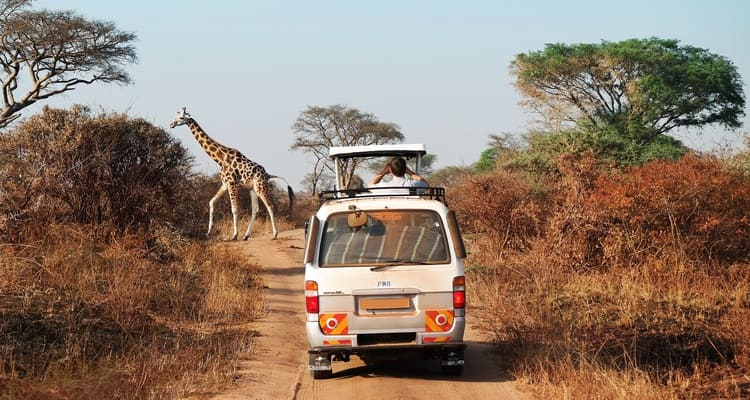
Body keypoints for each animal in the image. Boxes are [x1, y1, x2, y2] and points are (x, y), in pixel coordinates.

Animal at [172, 107, 296, 241]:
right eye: (175, 117)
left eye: (181, 118)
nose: (171, 124)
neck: (220, 158)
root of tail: (267, 174)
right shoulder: (225, 184)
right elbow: (211, 202)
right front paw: (208, 232)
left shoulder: (232, 184)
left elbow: (234, 209)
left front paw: (234, 235)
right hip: (252, 188)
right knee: (255, 209)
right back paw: (246, 236)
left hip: (260, 187)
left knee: (270, 206)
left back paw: (274, 234)